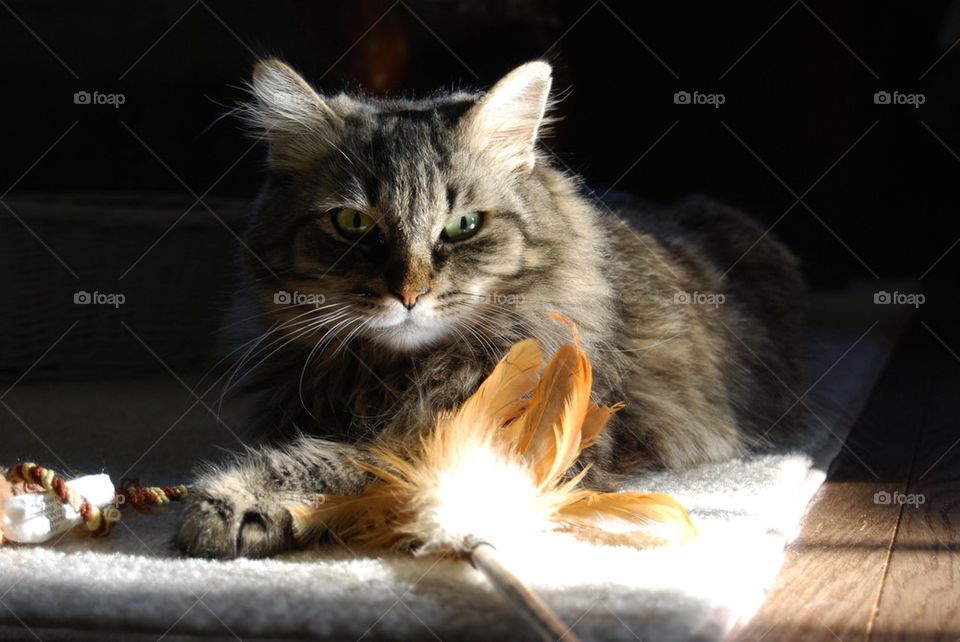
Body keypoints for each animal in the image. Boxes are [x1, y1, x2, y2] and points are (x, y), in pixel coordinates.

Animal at [178, 62, 804, 556]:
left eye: (463, 226)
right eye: (353, 223)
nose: (410, 294)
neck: (392, 376)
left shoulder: (502, 435)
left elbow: (359, 460)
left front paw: (237, 499)